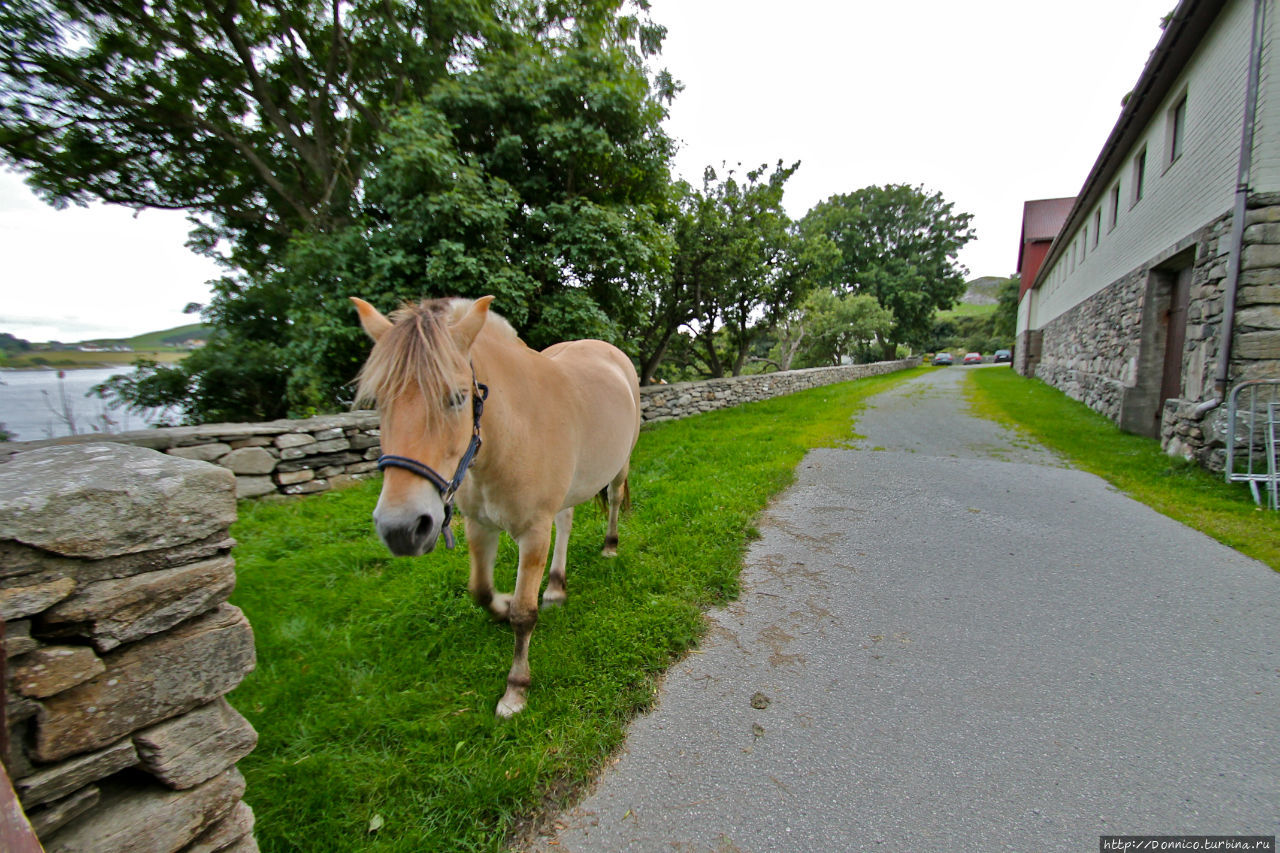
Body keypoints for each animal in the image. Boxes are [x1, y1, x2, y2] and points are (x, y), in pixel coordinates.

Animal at [348, 295, 640, 712]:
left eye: (457, 398)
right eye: (379, 403)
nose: (401, 529)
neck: (509, 434)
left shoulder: (532, 534)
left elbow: (524, 614)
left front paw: (516, 689)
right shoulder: (479, 526)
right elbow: (481, 591)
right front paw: (501, 605)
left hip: (619, 466)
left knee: (614, 500)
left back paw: (610, 547)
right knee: (566, 521)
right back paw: (555, 586)